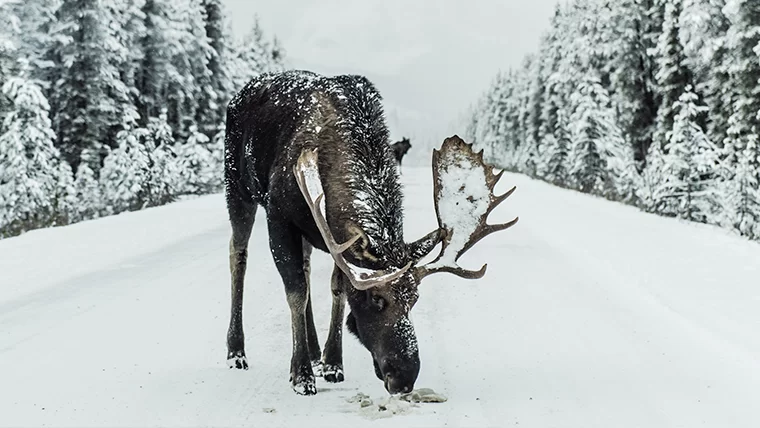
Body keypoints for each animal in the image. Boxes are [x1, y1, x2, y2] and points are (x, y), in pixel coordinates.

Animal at [221, 69, 516, 394]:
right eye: (376, 299)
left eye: (414, 299)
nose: (404, 377)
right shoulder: (279, 216)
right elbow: (296, 291)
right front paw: (301, 375)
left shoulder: (333, 237)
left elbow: (336, 289)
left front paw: (332, 363)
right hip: (237, 188)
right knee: (238, 255)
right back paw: (236, 352)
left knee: (307, 267)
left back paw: (313, 350)